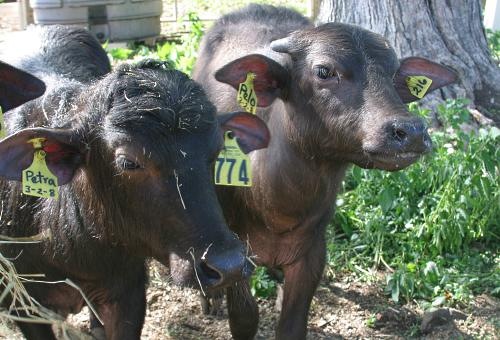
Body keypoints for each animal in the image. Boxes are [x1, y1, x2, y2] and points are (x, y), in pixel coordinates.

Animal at [192, 3, 458, 340]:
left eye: (394, 74)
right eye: (324, 71)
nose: (409, 132)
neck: (276, 203)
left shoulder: (312, 254)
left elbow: (292, 325)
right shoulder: (235, 255)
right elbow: (244, 318)